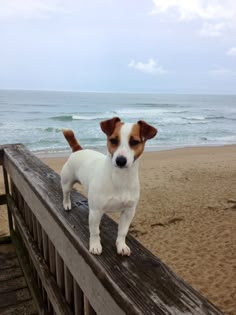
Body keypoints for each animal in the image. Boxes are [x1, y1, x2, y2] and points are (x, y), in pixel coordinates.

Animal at [60, 117, 157, 256]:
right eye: (113, 140)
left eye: (134, 142)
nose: (120, 160)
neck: (120, 179)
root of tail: (78, 149)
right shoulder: (95, 211)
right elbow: (95, 232)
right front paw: (95, 245)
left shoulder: (129, 211)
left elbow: (122, 231)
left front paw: (121, 245)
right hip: (67, 182)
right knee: (66, 193)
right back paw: (67, 204)